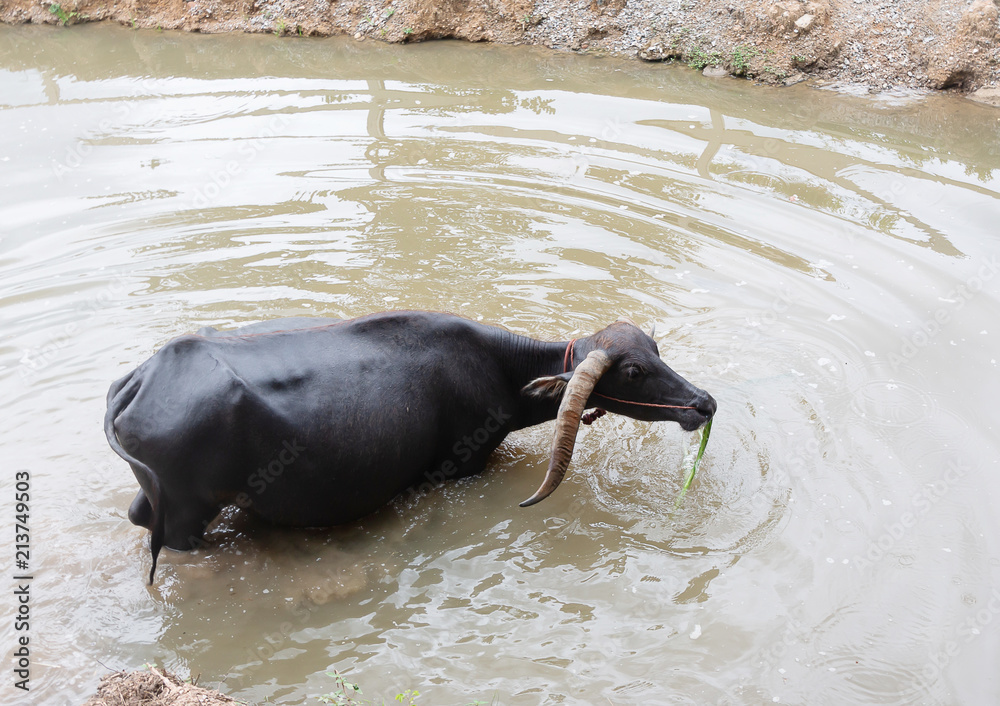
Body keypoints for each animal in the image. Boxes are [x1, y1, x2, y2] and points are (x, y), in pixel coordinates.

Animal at [104, 311, 716, 583]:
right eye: (634, 371)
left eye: (656, 351)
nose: (704, 403)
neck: (500, 370)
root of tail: (141, 379)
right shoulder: (463, 466)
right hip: (187, 515)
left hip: (161, 501)